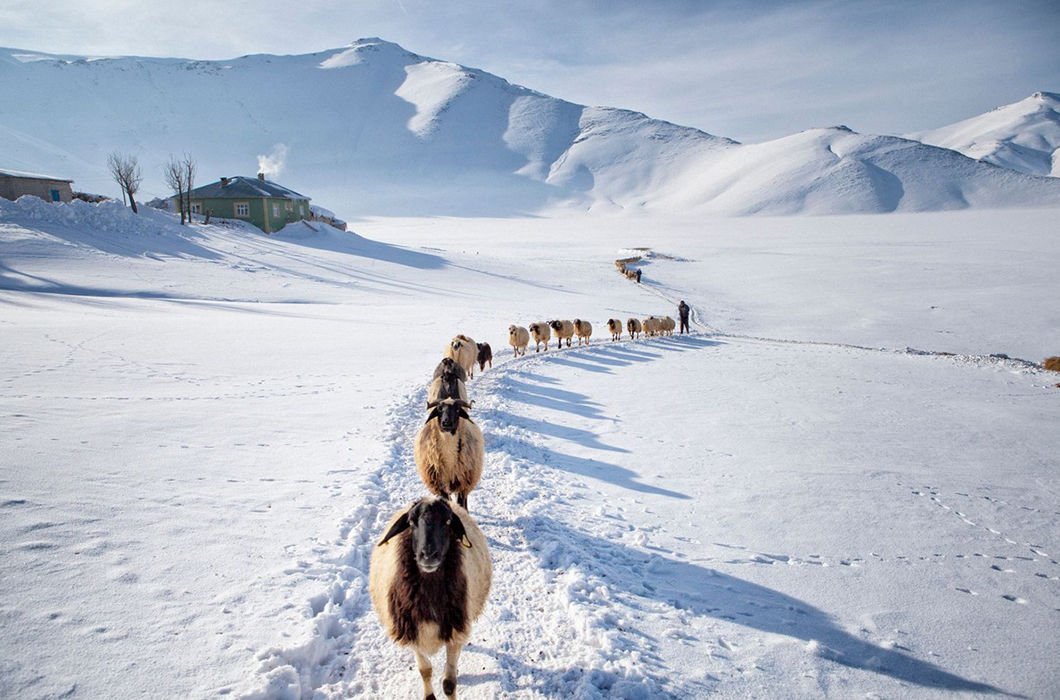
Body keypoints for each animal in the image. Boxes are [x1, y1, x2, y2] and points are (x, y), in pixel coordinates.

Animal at [370, 498, 489, 699]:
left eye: (448, 522)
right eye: (411, 522)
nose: (428, 555)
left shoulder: (455, 632)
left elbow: (449, 683)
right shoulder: (413, 633)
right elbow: (425, 671)